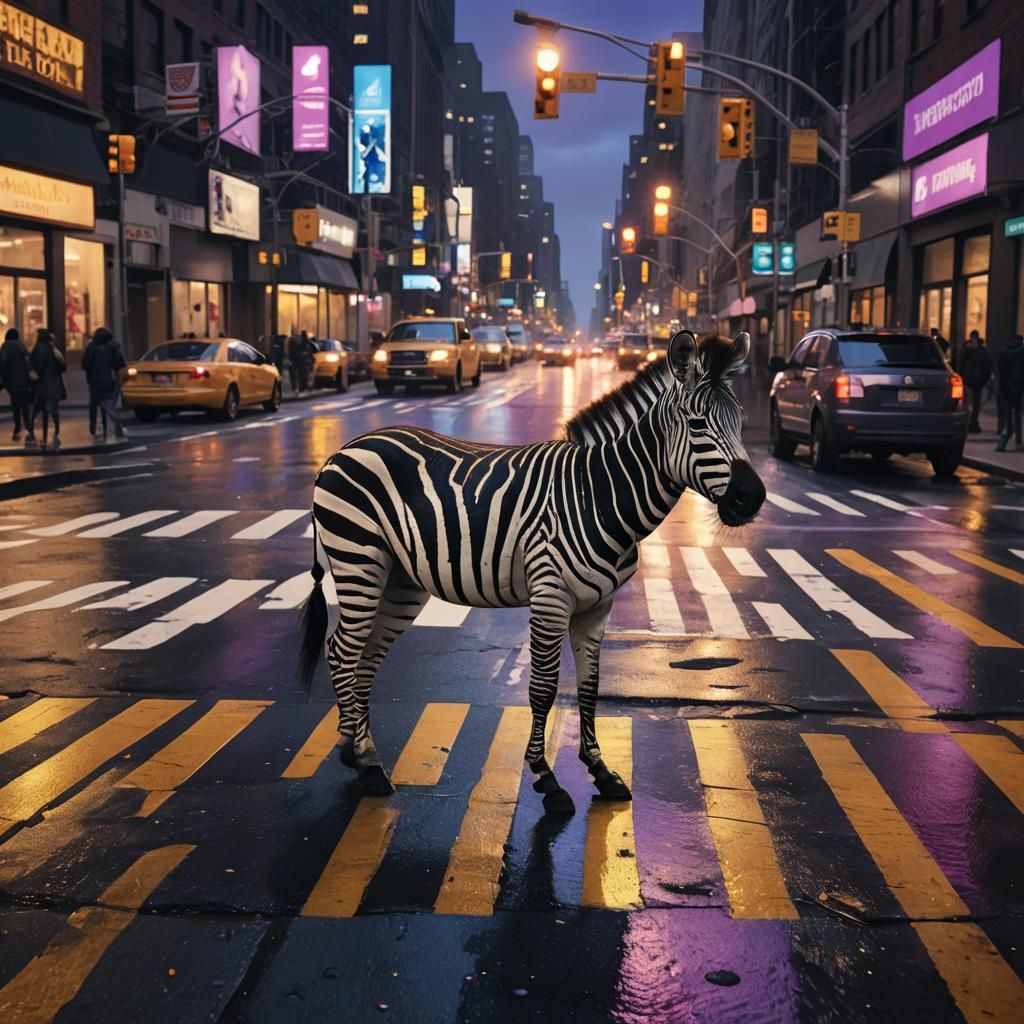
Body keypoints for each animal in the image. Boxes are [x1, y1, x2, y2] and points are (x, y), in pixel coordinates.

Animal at [300, 330, 765, 813]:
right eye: (697, 424)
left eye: (740, 420)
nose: (751, 497)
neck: (601, 493)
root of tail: (348, 447)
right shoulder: (550, 597)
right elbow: (542, 688)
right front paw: (547, 779)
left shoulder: (598, 606)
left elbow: (589, 686)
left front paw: (602, 771)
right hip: (358, 559)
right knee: (342, 650)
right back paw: (367, 763)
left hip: (400, 579)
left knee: (367, 655)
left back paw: (356, 751)